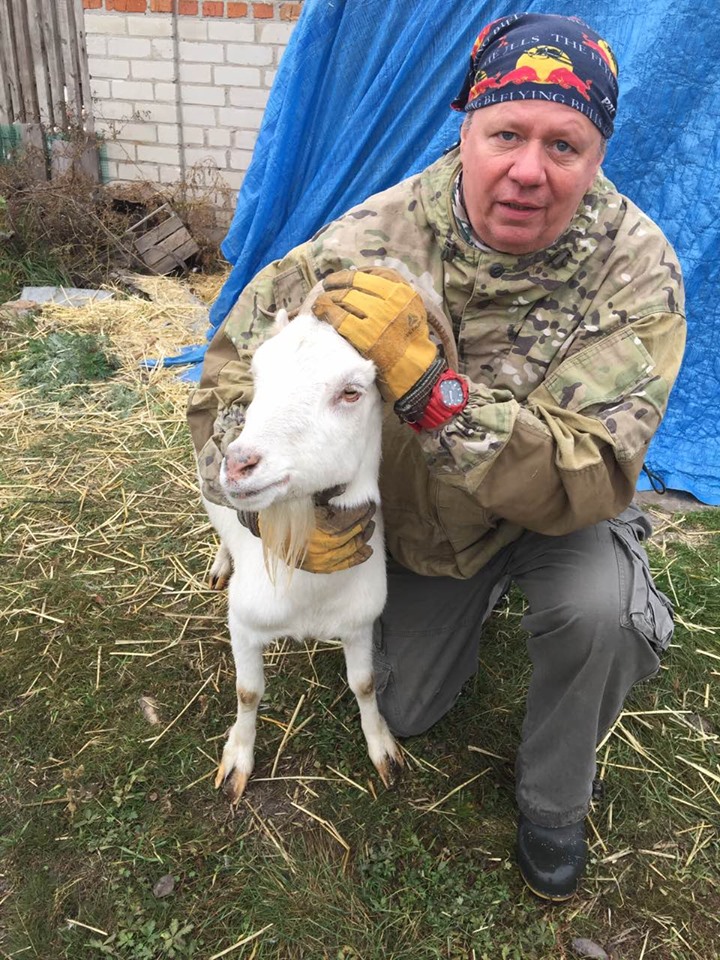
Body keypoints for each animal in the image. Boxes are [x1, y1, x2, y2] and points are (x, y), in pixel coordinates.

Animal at [200, 308, 403, 803]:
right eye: (257, 374)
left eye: (351, 392)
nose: (238, 464)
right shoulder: (243, 623)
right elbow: (248, 691)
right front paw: (237, 760)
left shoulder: (359, 623)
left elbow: (365, 684)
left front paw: (383, 748)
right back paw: (220, 564)